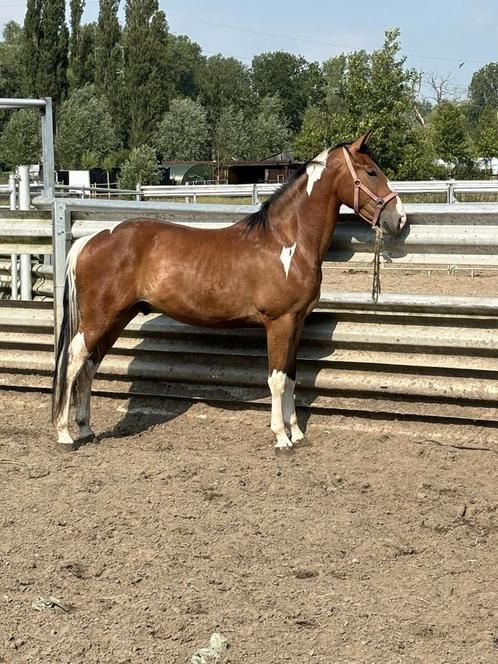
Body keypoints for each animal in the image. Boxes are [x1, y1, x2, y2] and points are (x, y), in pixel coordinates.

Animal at [52, 130, 406, 452]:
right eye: (371, 172)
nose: (399, 218)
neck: (287, 240)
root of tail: (90, 240)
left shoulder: (297, 323)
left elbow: (291, 377)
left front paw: (297, 433)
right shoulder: (279, 323)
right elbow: (277, 379)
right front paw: (281, 438)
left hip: (117, 318)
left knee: (89, 366)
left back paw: (86, 429)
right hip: (99, 320)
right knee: (72, 362)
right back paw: (65, 435)